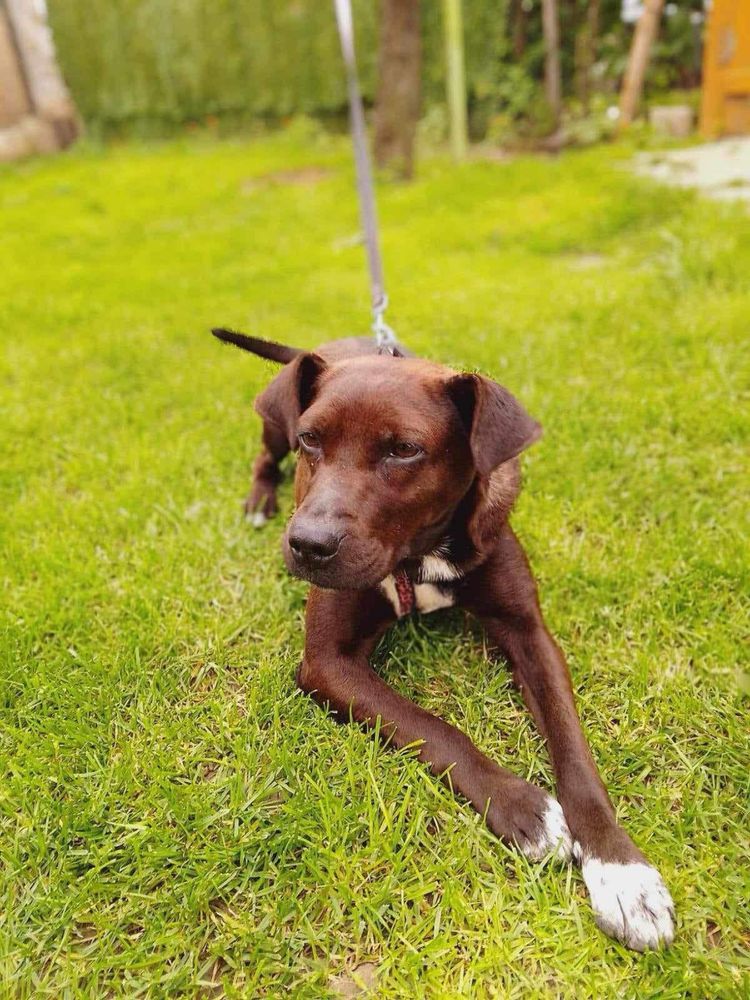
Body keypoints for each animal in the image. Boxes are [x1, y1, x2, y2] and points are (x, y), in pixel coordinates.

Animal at [212, 328, 676, 952]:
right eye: (311, 440)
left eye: (404, 450)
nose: (307, 544)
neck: (422, 550)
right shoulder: (327, 662)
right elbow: (432, 728)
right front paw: (524, 807)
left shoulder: (530, 633)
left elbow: (574, 750)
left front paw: (622, 872)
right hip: (271, 422)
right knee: (265, 455)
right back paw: (261, 500)